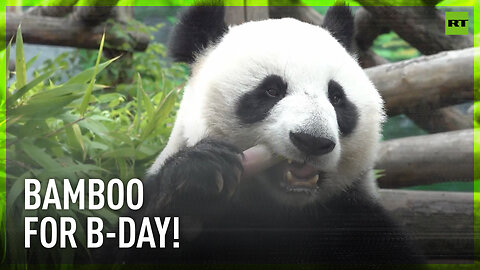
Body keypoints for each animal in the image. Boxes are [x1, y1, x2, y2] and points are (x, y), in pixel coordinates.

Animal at [122, 4, 426, 266]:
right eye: (271, 91)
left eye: (337, 97)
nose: (312, 140)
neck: (283, 211)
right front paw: (198, 177)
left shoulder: (355, 219)